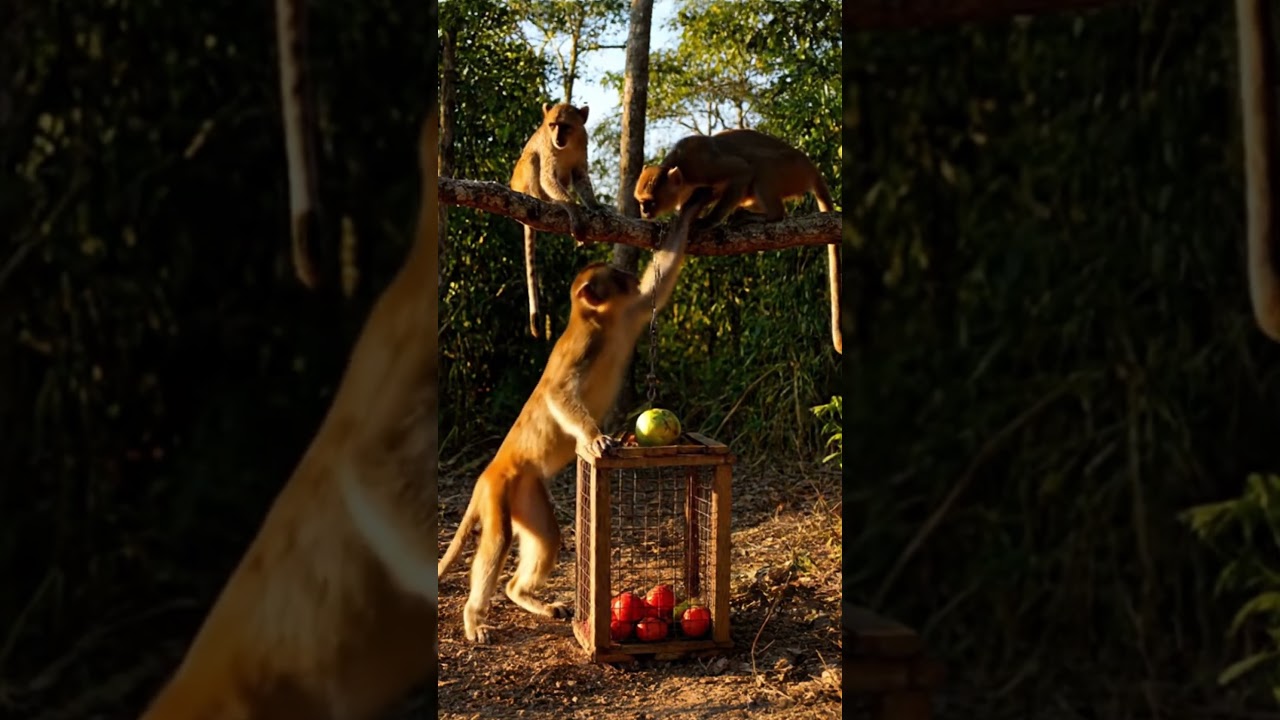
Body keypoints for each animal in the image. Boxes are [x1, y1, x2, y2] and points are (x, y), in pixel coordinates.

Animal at [437, 189, 714, 645]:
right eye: (615, 277)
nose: (626, 275)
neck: (603, 320)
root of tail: (491, 468)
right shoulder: (584, 342)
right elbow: (557, 391)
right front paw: (594, 436)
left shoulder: (629, 314)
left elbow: (660, 280)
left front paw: (690, 210)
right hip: (501, 488)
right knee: (497, 539)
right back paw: (474, 616)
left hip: (527, 489)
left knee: (546, 538)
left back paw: (520, 594)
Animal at [510, 102, 603, 338]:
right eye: (552, 125)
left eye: (565, 126)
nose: (558, 138)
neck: (568, 145)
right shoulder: (548, 148)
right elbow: (547, 176)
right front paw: (573, 209)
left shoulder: (582, 146)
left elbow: (580, 176)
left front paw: (594, 205)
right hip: (520, 183)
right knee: (532, 159)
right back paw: (549, 201)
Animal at [634, 128, 843, 354]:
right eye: (641, 202)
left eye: (650, 202)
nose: (644, 211)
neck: (682, 170)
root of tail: (809, 166)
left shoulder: (702, 165)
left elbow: (742, 171)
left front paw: (708, 221)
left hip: (790, 171)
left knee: (761, 168)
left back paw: (769, 215)